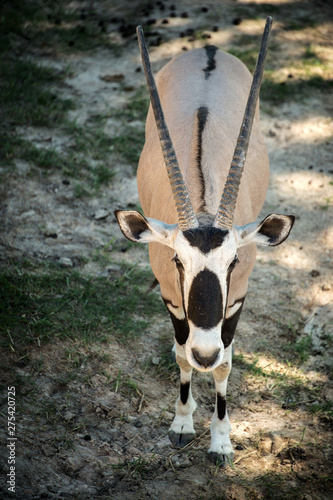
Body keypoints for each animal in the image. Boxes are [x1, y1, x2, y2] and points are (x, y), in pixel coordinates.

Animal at [114, 19, 294, 464]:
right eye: (178, 261)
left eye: (233, 262)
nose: (205, 352)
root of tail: (208, 50)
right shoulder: (173, 299)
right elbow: (183, 355)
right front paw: (181, 424)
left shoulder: (237, 299)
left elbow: (225, 364)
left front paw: (221, 442)